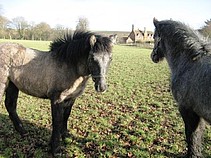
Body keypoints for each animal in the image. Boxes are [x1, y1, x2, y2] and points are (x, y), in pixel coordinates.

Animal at [152, 18, 211, 157]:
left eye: (154, 36)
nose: (153, 56)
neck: (190, 61)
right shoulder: (198, 113)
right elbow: (197, 136)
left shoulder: (187, 109)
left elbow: (191, 135)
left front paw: (192, 154)